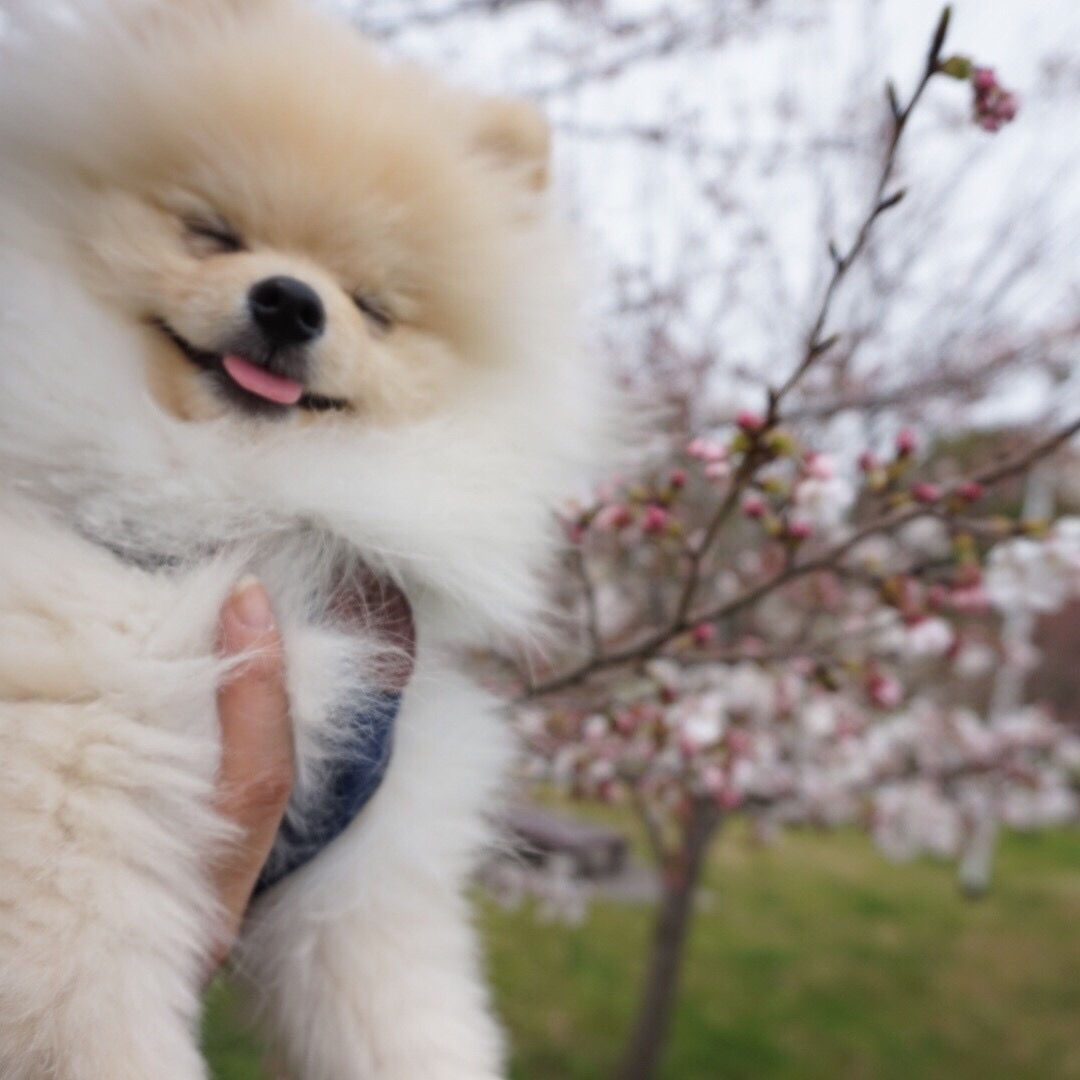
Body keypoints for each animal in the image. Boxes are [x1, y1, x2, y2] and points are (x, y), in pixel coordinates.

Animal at [0, 2, 609, 1080]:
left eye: (373, 304)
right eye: (211, 231)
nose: (290, 299)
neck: (233, 499)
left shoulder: (368, 863)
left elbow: (406, 1019)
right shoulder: (66, 831)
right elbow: (98, 1025)